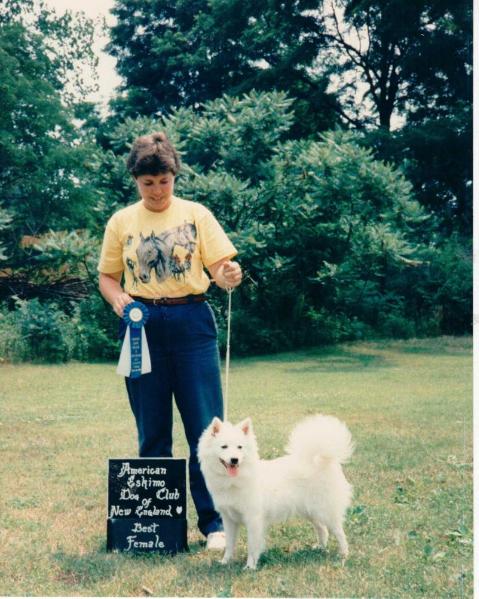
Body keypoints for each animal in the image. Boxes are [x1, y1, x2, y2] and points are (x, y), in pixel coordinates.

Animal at [197, 414, 354, 568]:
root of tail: (322, 458)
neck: (234, 481)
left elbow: (252, 546)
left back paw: (343, 554)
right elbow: (229, 544)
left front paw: (250, 566)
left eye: (239, 447)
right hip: (311, 511)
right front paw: (225, 562)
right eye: (224, 447)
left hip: (325, 511)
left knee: (339, 532)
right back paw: (320, 547)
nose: (234, 459)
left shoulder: (253, 519)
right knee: (322, 529)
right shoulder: (228, 518)